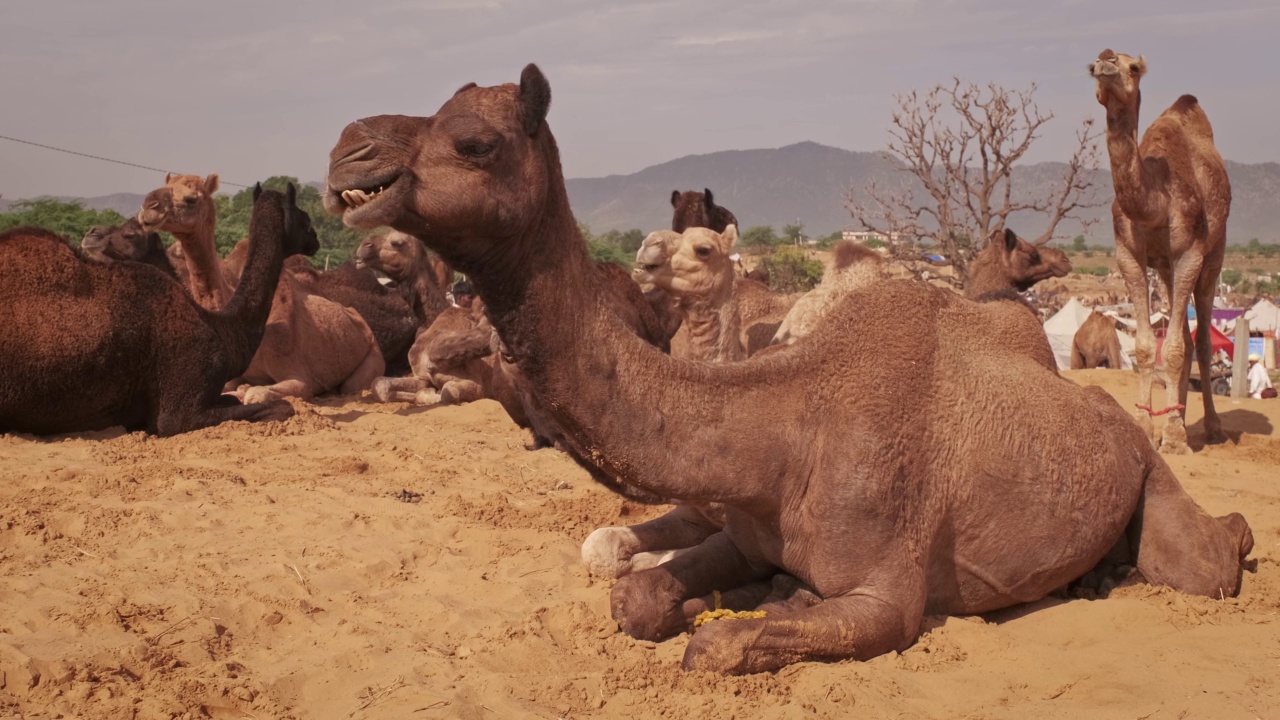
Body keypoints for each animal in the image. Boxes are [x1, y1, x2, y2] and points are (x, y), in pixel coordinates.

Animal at [1090, 49, 1228, 453]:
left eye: (1133, 67)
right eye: (1092, 67)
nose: (1106, 60)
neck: (1156, 200)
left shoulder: (1190, 254)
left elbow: (1178, 347)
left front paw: (1177, 440)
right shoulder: (1128, 255)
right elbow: (1147, 346)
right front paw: (1148, 428)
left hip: (1213, 258)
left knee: (1200, 341)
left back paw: (1210, 427)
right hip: (1166, 270)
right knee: (1184, 336)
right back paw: (1175, 416)